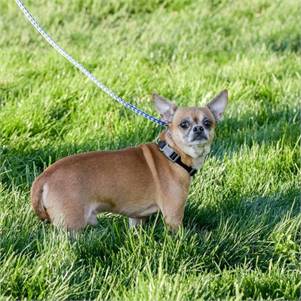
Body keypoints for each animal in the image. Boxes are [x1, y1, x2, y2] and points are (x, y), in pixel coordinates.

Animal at [31, 89, 227, 230]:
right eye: (184, 124)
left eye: (208, 123)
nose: (199, 128)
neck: (172, 154)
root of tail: (44, 177)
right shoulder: (174, 216)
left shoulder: (137, 217)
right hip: (71, 225)